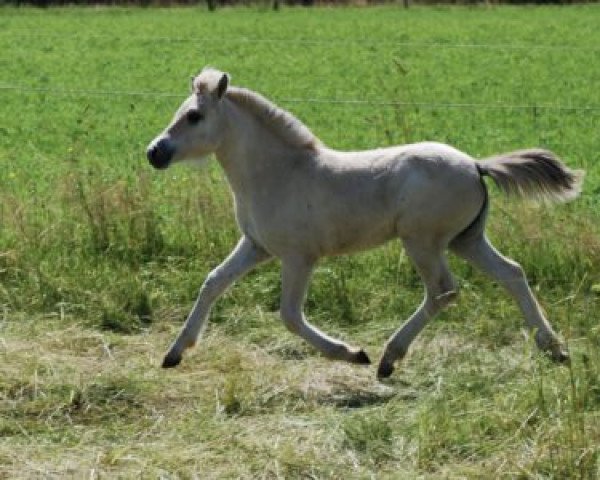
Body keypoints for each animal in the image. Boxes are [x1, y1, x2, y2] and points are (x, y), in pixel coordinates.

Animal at [145, 66, 580, 378]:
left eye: (194, 115)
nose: (154, 152)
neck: (278, 172)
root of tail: (476, 165)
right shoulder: (256, 246)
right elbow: (213, 283)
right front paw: (173, 353)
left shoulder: (299, 256)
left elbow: (290, 315)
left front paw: (351, 353)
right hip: (466, 240)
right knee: (511, 273)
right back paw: (554, 348)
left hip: (422, 241)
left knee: (443, 291)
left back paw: (388, 358)